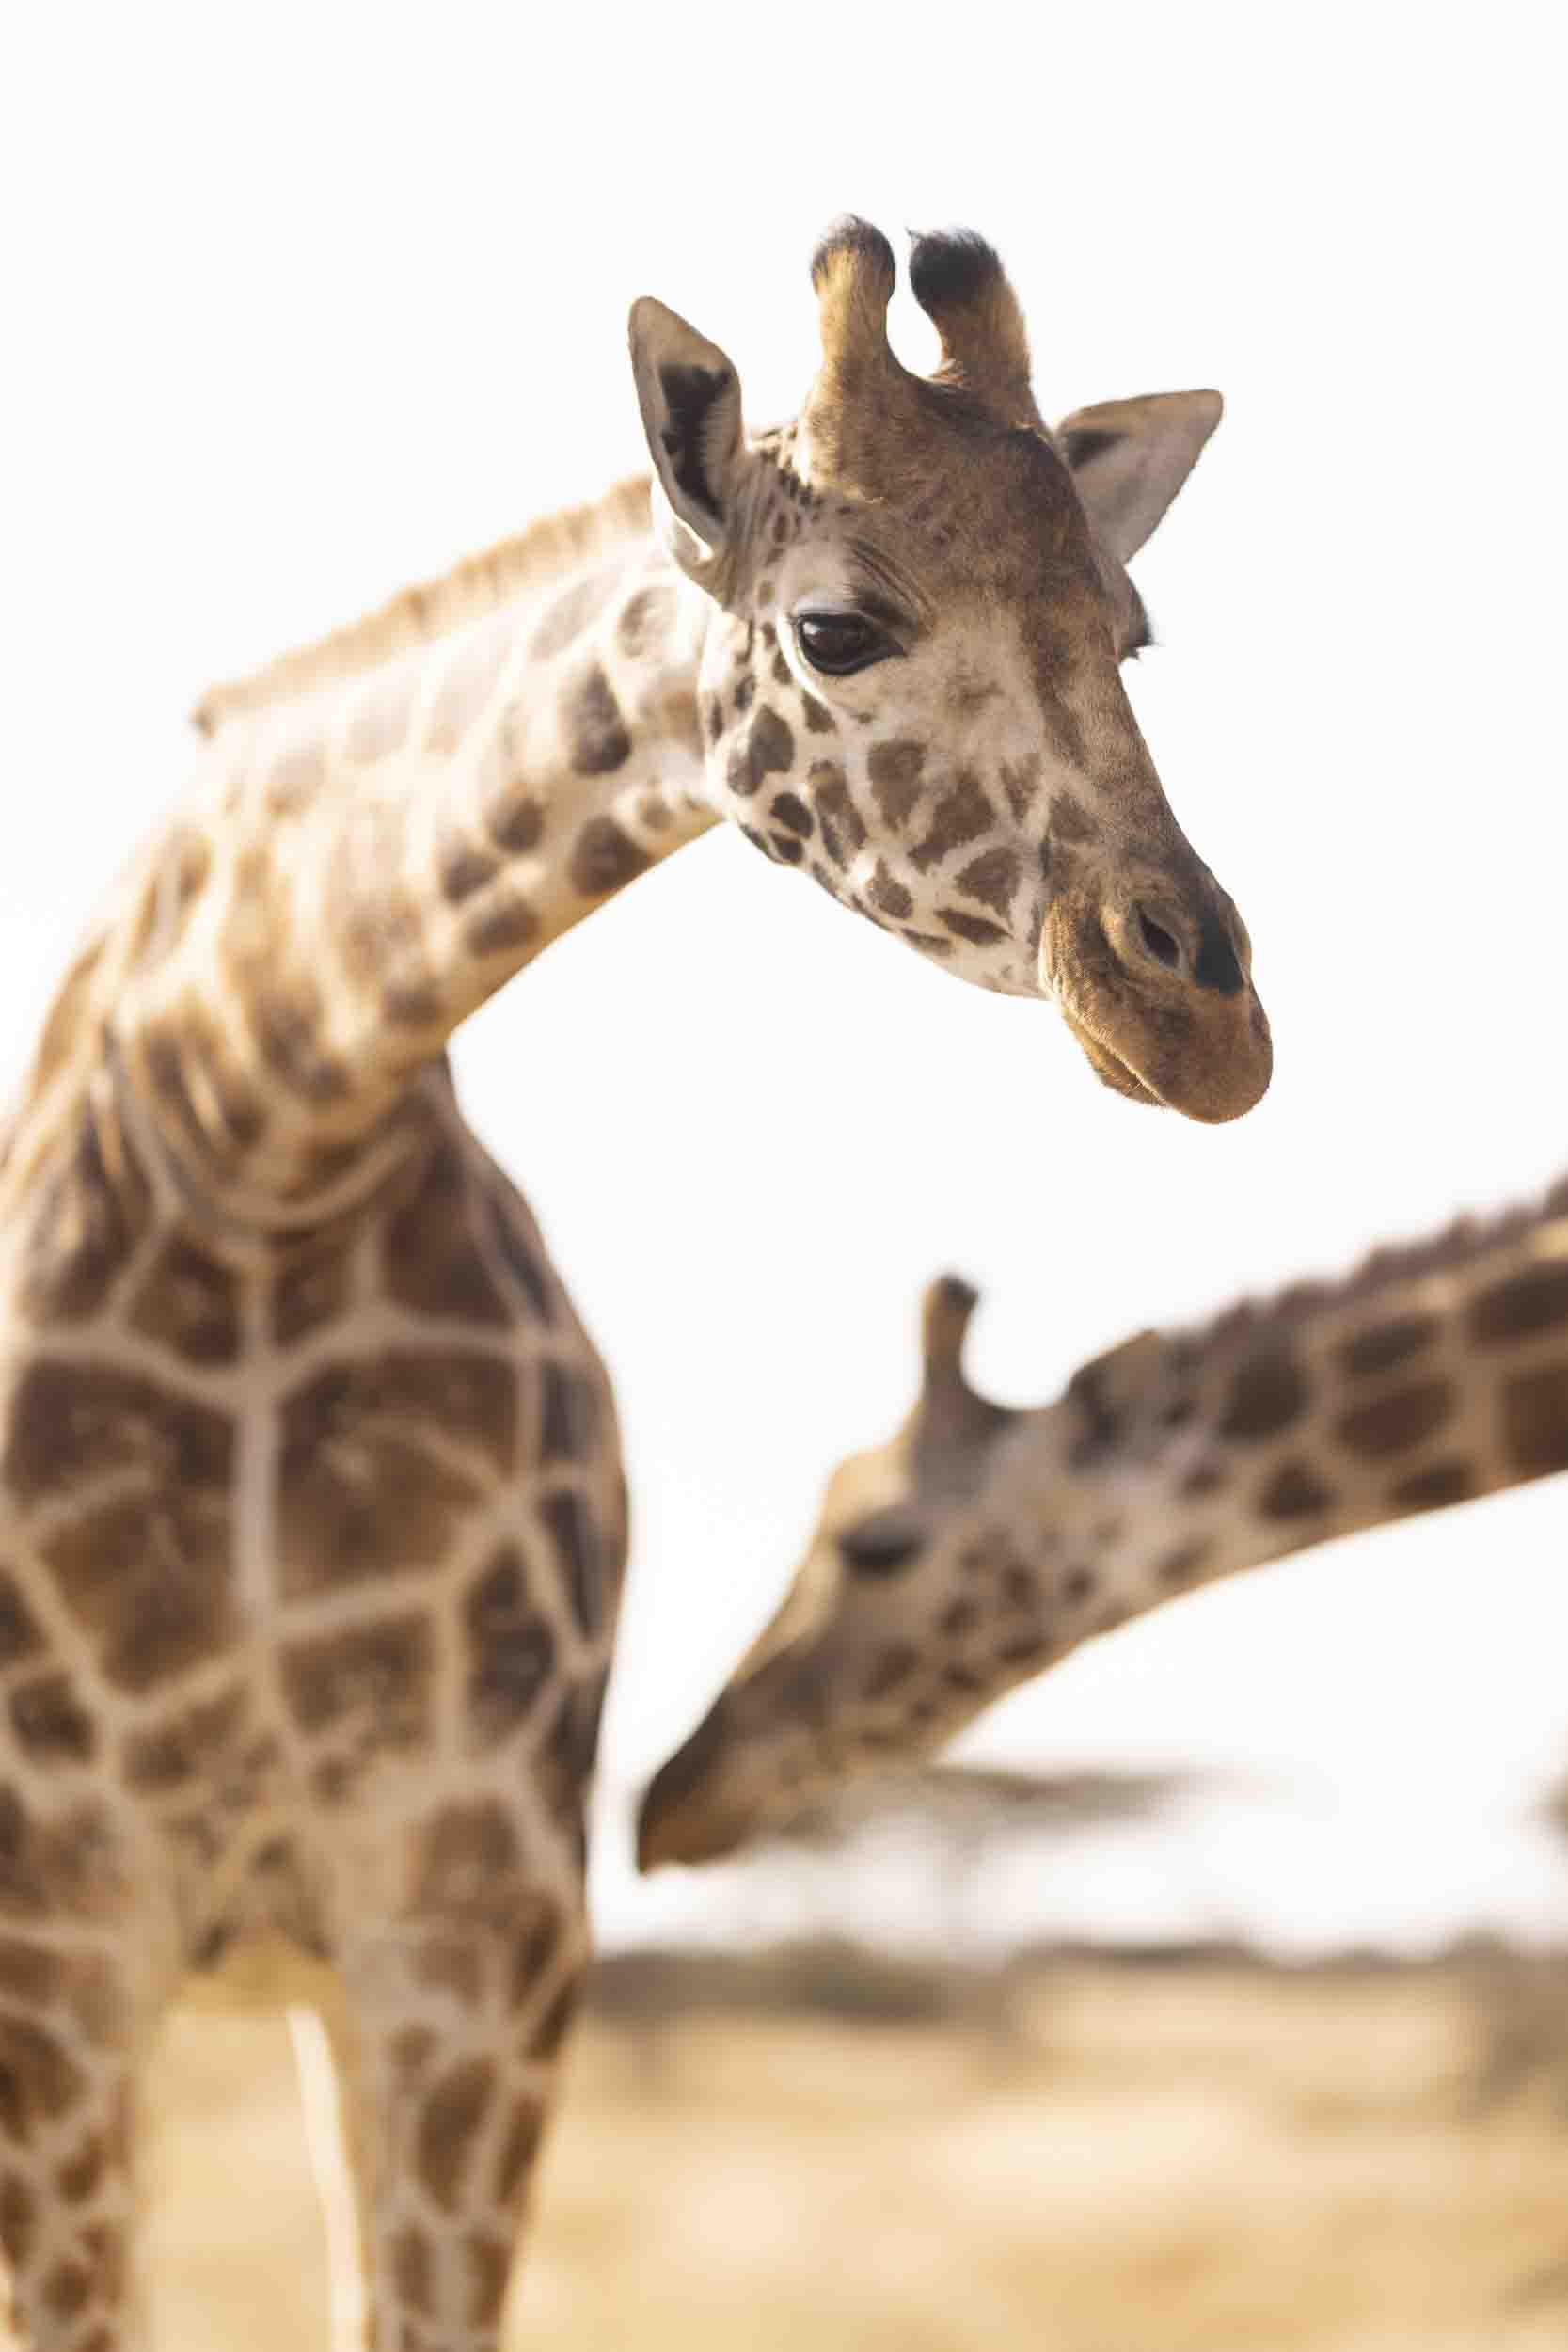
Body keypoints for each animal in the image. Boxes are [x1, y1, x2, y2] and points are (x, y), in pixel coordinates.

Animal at [0, 215, 1264, 2350]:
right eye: (835, 629)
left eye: (1131, 626)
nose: (1200, 1016)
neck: (245, 1136)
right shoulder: (62, 1939)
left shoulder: (477, 1928)